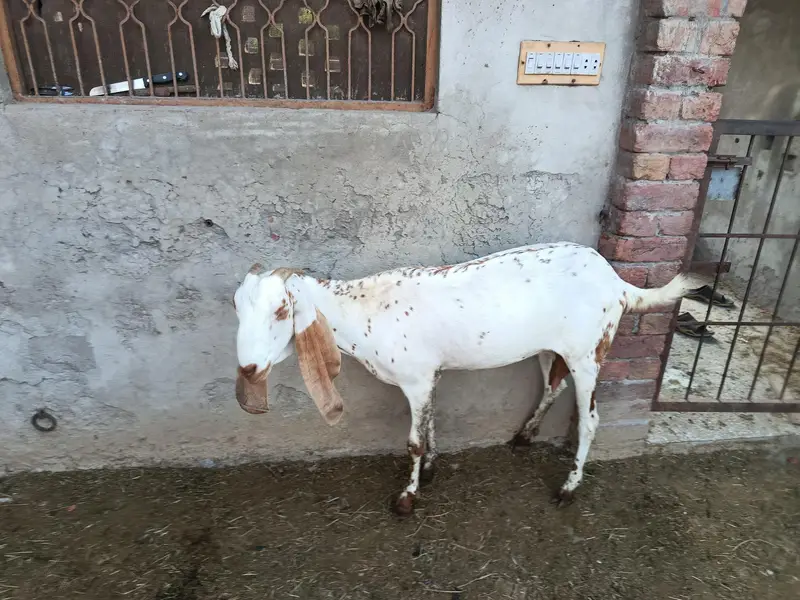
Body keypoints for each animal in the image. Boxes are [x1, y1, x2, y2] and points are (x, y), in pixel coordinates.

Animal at [232, 242, 690, 515]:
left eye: (281, 310)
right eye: (236, 307)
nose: (248, 368)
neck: (364, 310)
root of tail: (619, 283)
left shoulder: (416, 378)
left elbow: (414, 441)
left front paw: (408, 497)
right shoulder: (429, 375)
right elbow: (431, 423)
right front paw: (433, 467)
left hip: (588, 350)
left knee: (590, 418)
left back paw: (568, 487)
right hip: (551, 347)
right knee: (552, 384)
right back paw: (525, 435)